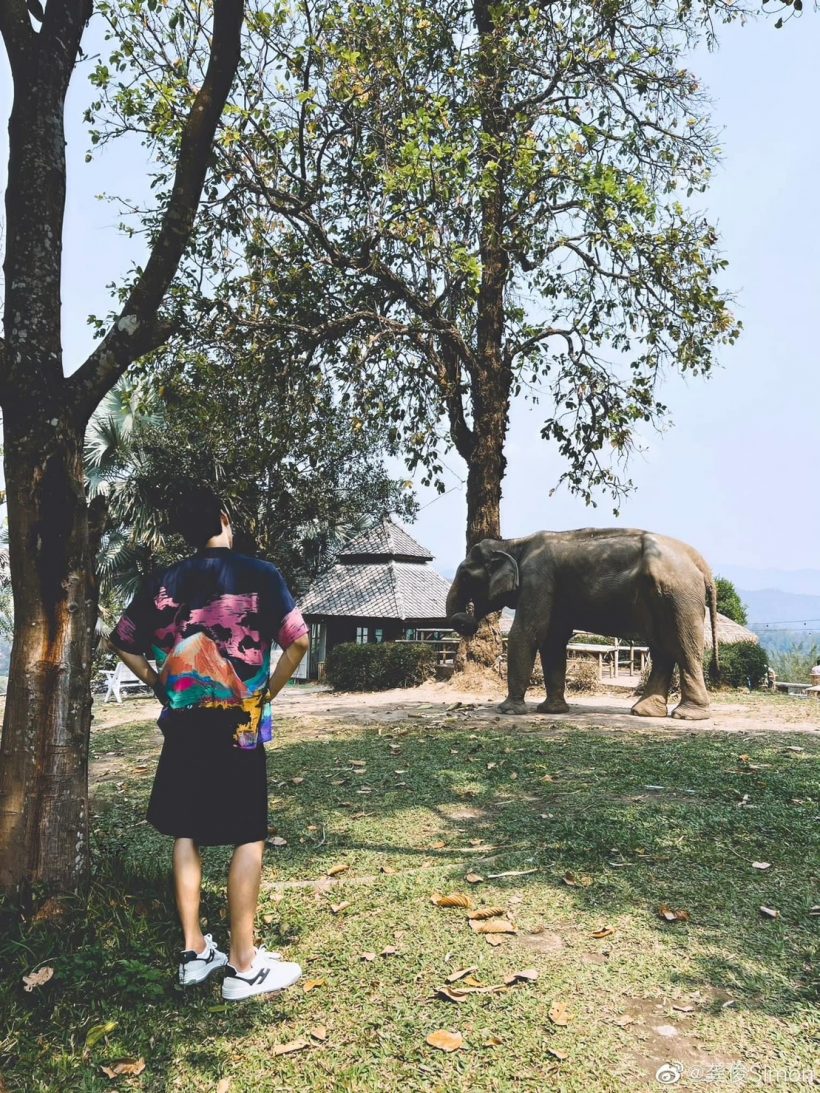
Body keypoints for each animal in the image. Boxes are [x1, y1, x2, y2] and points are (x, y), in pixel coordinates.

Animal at [446, 526, 721, 721]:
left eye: (466, 576)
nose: (467, 621)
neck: (513, 543)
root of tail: (700, 562)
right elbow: (552, 641)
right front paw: (552, 710)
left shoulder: (538, 578)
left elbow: (527, 633)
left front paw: (508, 711)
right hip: (663, 598)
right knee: (662, 649)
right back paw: (644, 712)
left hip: (679, 595)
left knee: (683, 647)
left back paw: (687, 715)